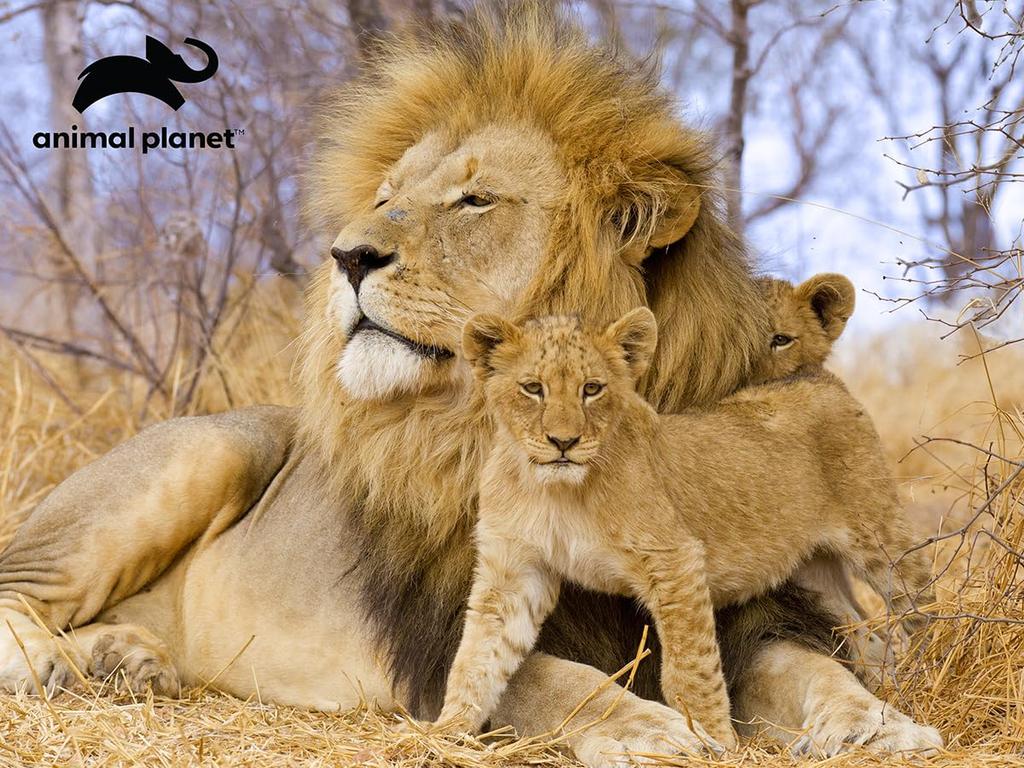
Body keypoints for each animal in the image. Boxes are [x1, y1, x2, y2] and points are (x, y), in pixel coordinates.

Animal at [436, 309, 933, 750]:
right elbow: (477, 656)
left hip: (878, 537)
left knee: (918, 603)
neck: (554, 490)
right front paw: (444, 733)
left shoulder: (675, 559)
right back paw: (887, 685)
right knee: (866, 630)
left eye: (592, 389)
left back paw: (932, 668)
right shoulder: (514, 571)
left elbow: (689, 671)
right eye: (532, 389)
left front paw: (715, 743)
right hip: (812, 569)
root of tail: (818, 377)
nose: (564, 442)